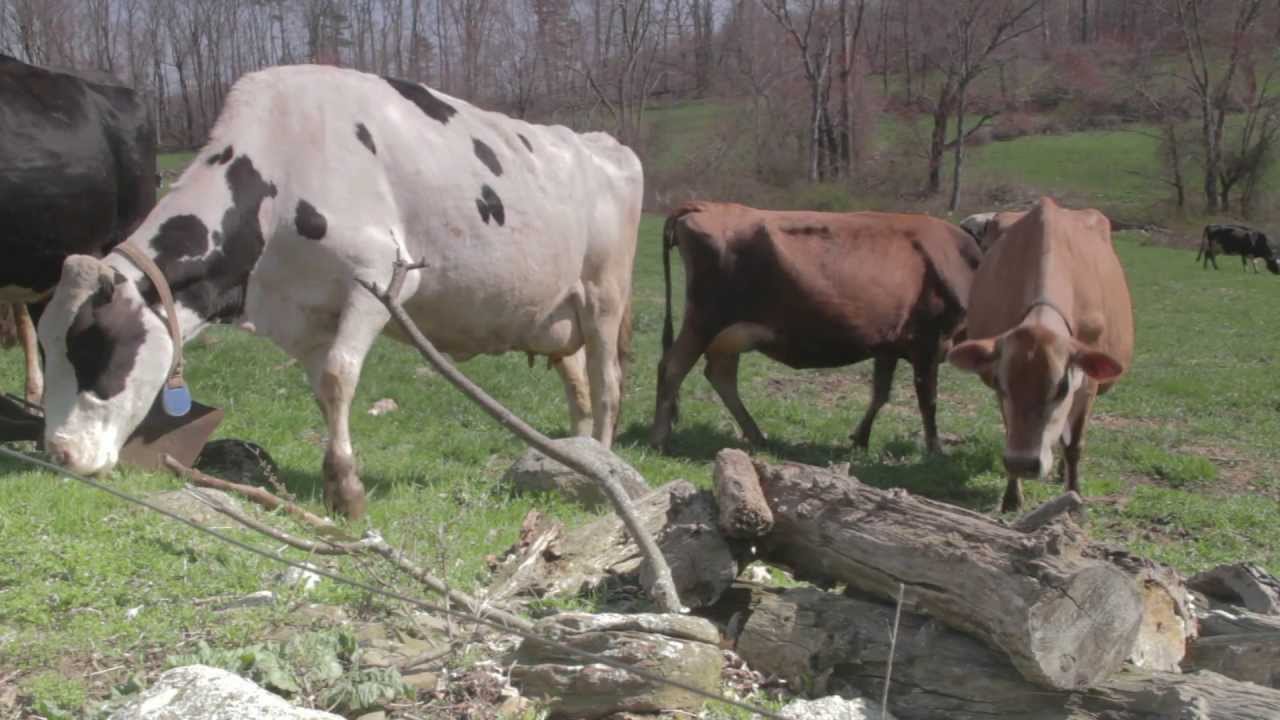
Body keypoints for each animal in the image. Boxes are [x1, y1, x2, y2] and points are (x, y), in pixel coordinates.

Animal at [38, 65, 645, 515]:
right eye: (47, 348)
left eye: (96, 349)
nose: (59, 453)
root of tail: (601, 144)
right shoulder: (303, 315)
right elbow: (322, 388)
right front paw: (336, 485)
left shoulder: (380, 275)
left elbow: (338, 377)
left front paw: (348, 492)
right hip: (554, 315)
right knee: (579, 390)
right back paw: (573, 462)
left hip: (604, 295)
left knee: (607, 385)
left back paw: (606, 474)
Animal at [650, 198, 977, 450]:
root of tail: (704, 205)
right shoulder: (929, 341)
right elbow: (928, 401)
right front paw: (935, 450)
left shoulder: (888, 345)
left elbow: (880, 394)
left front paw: (860, 439)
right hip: (705, 320)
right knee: (673, 367)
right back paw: (660, 439)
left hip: (730, 333)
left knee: (720, 375)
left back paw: (757, 437)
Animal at [947, 196, 1136, 509]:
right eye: (1002, 385)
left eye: (1062, 388)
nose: (1023, 463)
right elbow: (1011, 429)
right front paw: (1012, 497)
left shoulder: (1088, 382)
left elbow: (1074, 444)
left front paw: (1074, 498)